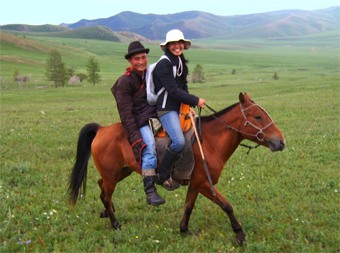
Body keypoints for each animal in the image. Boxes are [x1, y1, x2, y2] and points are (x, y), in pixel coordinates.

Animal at [67, 92, 286, 244]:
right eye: (257, 117)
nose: (281, 141)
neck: (209, 142)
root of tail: (102, 129)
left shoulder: (196, 184)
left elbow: (188, 207)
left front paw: (184, 229)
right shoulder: (204, 183)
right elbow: (226, 205)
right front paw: (239, 234)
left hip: (121, 171)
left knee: (101, 186)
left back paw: (107, 212)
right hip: (112, 175)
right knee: (105, 194)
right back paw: (115, 223)